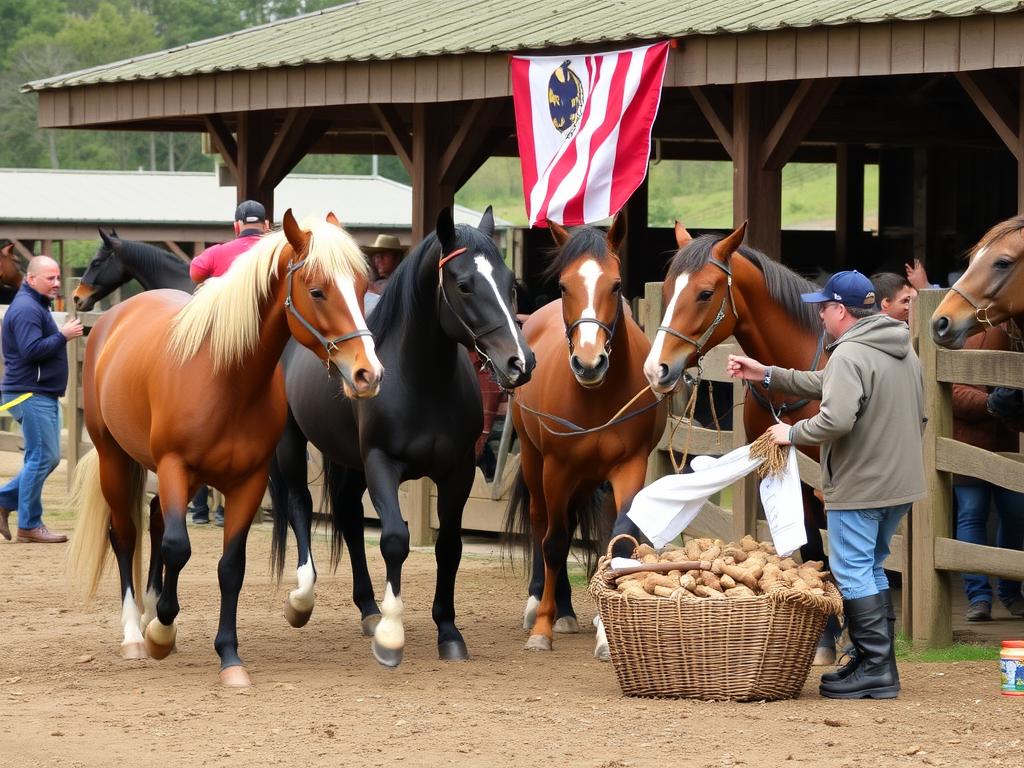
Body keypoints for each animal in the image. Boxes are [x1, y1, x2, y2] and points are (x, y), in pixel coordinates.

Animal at [67, 211, 385, 692]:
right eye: (317, 291)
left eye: (363, 286)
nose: (369, 373)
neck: (224, 376)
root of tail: (113, 319)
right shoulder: (175, 467)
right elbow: (178, 548)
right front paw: (160, 633)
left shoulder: (248, 481)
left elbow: (230, 566)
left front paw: (229, 656)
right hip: (114, 459)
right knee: (125, 535)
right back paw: (135, 633)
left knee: (155, 519)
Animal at [268, 205, 532, 667]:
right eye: (464, 285)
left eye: (510, 282)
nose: (520, 361)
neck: (420, 380)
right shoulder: (381, 464)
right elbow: (394, 539)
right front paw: (391, 637)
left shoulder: (458, 471)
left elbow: (449, 547)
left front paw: (448, 631)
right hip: (292, 444)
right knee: (300, 505)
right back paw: (303, 599)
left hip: (350, 463)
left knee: (350, 519)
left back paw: (369, 609)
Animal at [501, 219, 663, 659]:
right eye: (563, 286)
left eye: (616, 285)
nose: (589, 363)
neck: (596, 397)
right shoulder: (557, 468)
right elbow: (554, 543)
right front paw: (543, 628)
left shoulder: (630, 467)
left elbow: (619, 543)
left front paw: (607, 635)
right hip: (535, 462)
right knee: (543, 526)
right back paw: (543, 604)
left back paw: (572, 612)